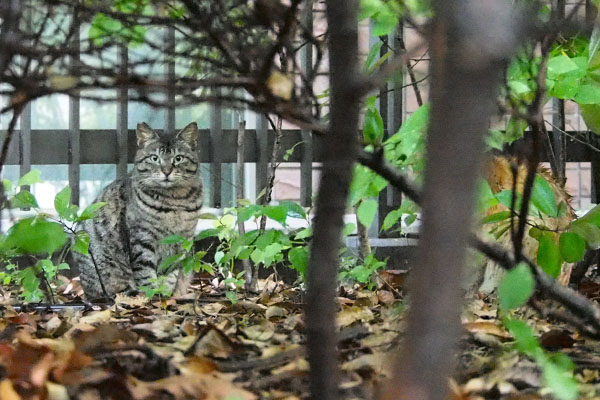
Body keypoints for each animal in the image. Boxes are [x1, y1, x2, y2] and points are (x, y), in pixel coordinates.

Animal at [76, 122, 204, 300]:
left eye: (178, 158)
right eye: (154, 158)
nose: (166, 171)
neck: (174, 201)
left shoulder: (182, 240)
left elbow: (172, 272)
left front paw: (166, 292)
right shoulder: (142, 238)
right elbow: (146, 273)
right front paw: (153, 295)